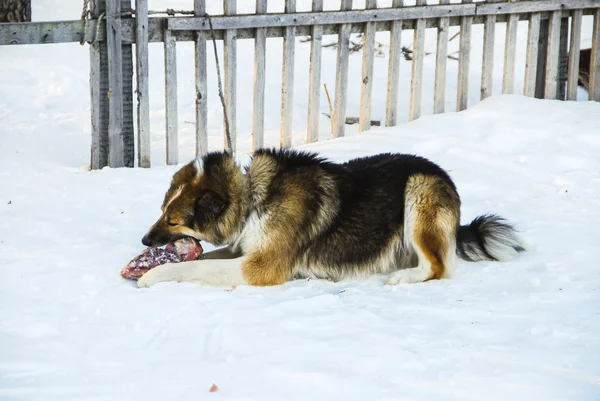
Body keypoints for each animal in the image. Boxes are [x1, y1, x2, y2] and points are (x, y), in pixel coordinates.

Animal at [137, 147, 524, 288]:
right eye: (163, 212)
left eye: (172, 221)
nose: (144, 240)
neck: (253, 198)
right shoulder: (242, 249)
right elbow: (205, 259)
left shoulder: (261, 267)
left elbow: (194, 268)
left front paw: (153, 274)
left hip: (419, 190)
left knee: (439, 267)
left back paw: (404, 278)